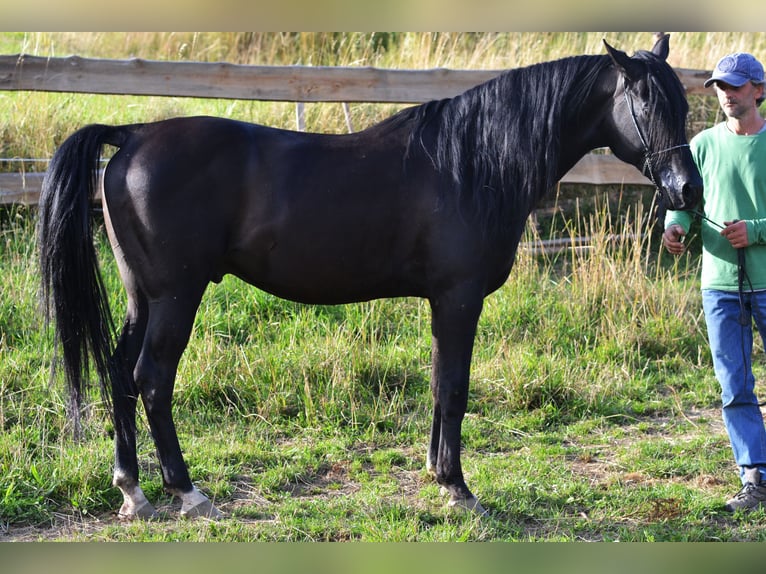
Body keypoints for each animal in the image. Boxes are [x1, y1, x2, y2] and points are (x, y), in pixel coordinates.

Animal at [38, 36, 702, 520]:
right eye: (646, 103)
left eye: (681, 103)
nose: (687, 191)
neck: (473, 162)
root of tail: (133, 135)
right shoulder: (458, 299)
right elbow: (454, 389)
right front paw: (459, 488)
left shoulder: (441, 302)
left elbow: (437, 384)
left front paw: (438, 474)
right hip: (177, 295)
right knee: (152, 378)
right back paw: (187, 491)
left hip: (142, 296)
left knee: (119, 371)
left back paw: (132, 490)